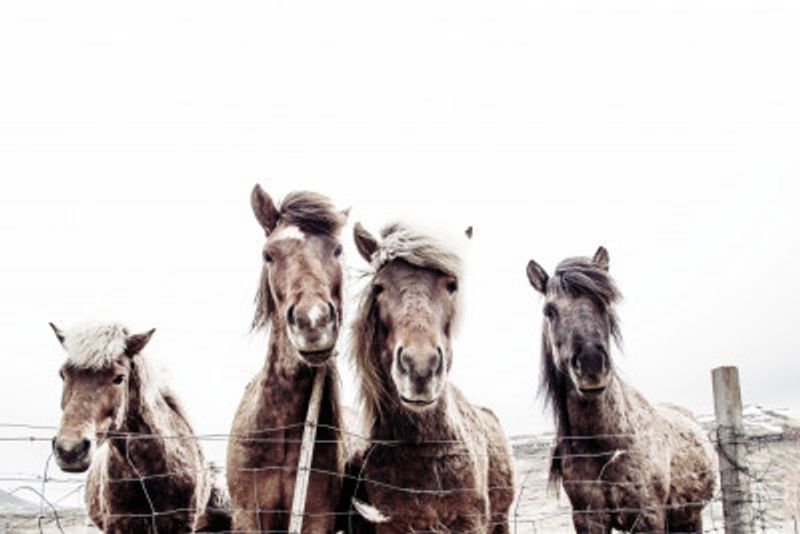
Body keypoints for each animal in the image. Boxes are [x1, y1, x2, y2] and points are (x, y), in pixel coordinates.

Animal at [526, 247, 716, 533]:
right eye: (549, 310)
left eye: (605, 301)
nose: (591, 365)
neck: (604, 447)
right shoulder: (589, 518)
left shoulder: (648, 516)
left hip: (690, 517)